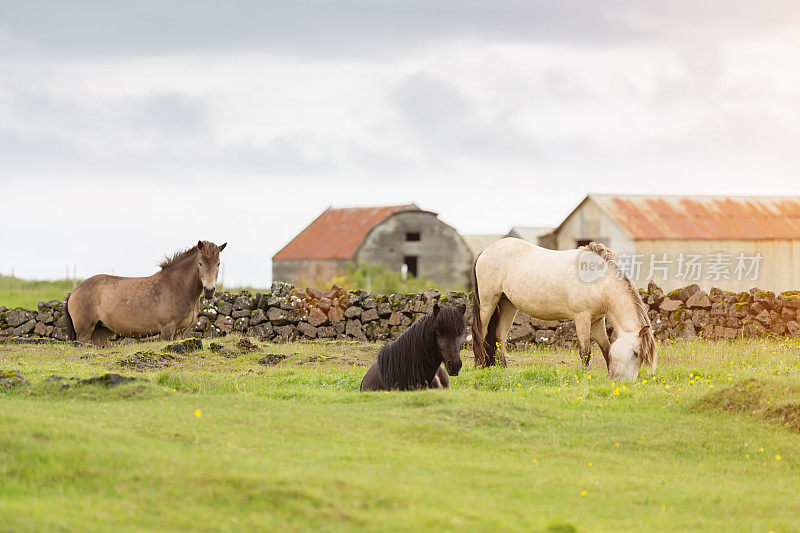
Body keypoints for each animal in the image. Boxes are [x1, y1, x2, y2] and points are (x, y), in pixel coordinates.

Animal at [63, 241, 227, 344]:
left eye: (218, 264)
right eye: (200, 263)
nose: (209, 291)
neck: (178, 287)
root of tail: (74, 291)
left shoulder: (183, 331)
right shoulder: (167, 329)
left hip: (99, 333)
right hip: (84, 332)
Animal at [472, 239, 652, 380]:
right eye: (636, 353)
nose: (627, 382)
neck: (599, 281)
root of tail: (485, 251)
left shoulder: (597, 321)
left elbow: (606, 349)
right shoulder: (582, 318)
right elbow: (585, 352)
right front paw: (584, 375)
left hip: (508, 305)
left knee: (499, 336)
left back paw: (503, 368)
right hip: (488, 302)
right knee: (481, 332)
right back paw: (480, 365)